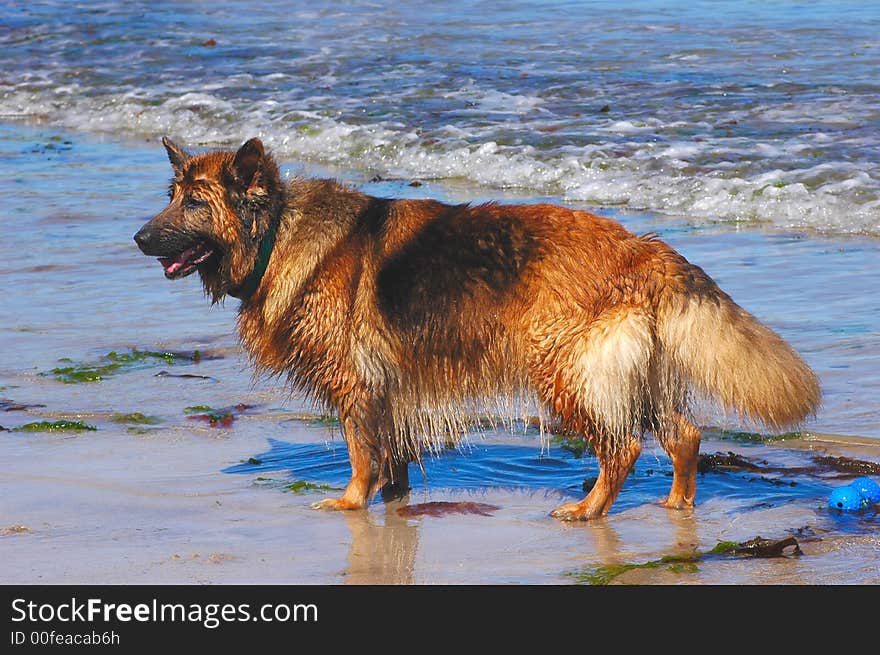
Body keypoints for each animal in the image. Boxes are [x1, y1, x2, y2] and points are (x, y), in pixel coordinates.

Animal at [134, 138, 820, 524]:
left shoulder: (359, 385)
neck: (277, 232)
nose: (138, 238)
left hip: (566, 369)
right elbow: (393, 456)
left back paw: (590, 509)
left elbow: (360, 453)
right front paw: (392, 504)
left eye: (194, 204)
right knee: (683, 434)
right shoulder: (392, 388)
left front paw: (352, 502)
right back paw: (677, 507)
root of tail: (646, 249)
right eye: (172, 196)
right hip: (632, 372)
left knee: (622, 445)